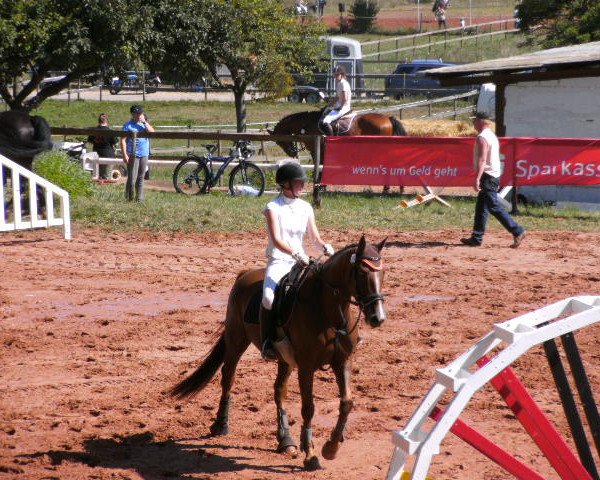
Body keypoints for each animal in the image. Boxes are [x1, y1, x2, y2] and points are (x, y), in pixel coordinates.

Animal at [170, 234, 384, 470]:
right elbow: (308, 408)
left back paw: (286, 440)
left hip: (284, 359)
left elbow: (346, 403)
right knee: (228, 377)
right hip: (237, 341)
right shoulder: (306, 367)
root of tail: (245, 274)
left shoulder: (343, 361)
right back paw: (221, 425)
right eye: (362, 273)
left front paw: (331, 447)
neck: (327, 312)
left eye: (382, 272)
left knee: (279, 390)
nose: (377, 318)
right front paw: (310, 455)